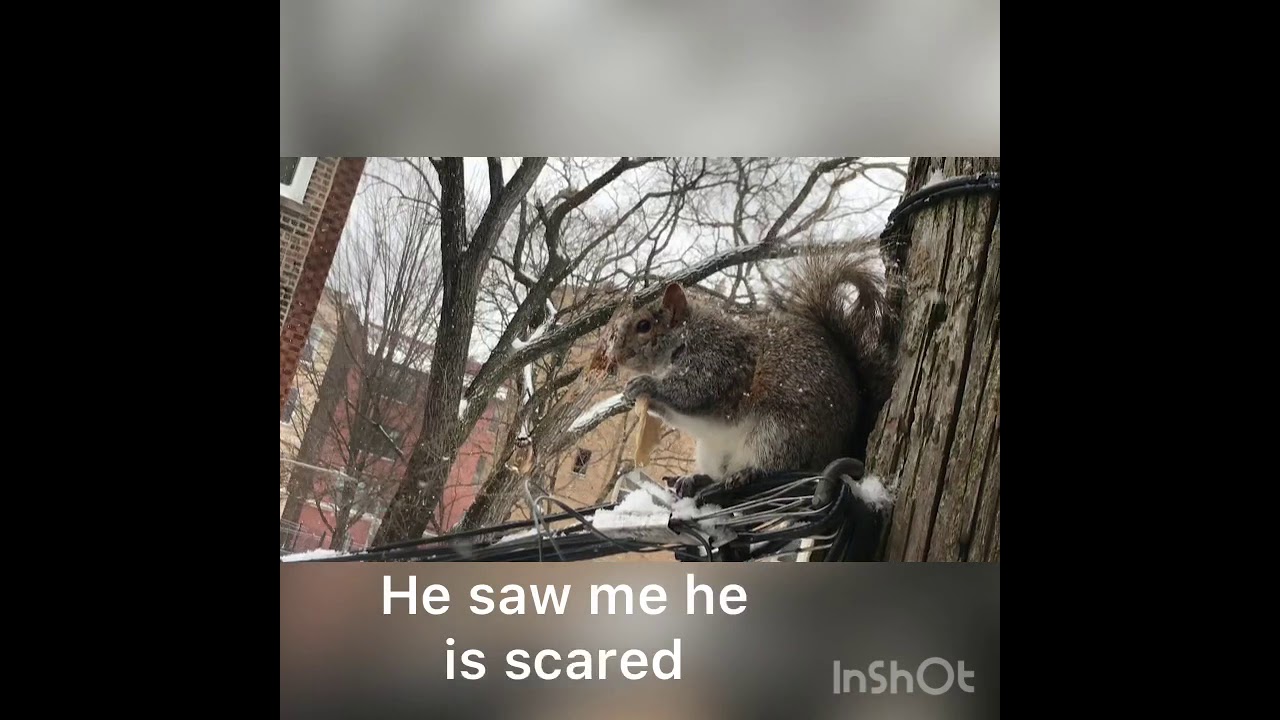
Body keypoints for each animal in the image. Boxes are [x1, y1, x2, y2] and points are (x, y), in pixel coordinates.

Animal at [597, 243, 897, 504]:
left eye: (644, 326)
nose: (614, 355)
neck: (684, 338)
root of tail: (840, 448)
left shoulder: (722, 361)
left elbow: (693, 392)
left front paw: (646, 385)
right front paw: (631, 397)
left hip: (780, 433)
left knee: (778, 466)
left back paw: (749, 473)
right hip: (714, 450)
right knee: (719, 474)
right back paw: (695, 480)